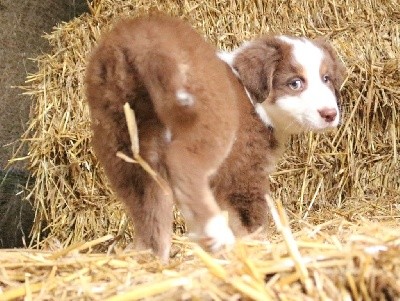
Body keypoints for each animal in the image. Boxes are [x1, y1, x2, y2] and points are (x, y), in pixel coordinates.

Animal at [86, 14, 346, 260]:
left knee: (147, 206)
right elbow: (250, 217)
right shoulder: (245, 170)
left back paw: (151, 259)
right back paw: (216, 235)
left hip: (120, 140)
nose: (330, 114)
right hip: (207, 125)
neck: (252, 98)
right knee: (184, 167)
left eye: (326, 79)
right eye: (295, 83)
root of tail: (140, 43)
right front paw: (259, 247)